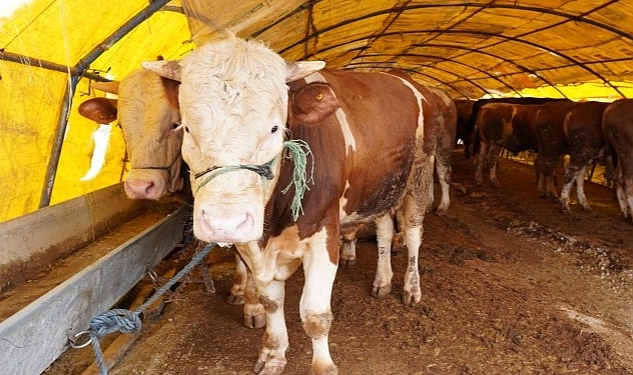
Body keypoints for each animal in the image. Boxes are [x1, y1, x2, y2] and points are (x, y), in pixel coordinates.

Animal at [144, 36, 436, 375]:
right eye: (188, 128)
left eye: (274, 128)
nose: (225, 222)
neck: (273, 224)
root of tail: (402, 77)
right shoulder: (253, 246)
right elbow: (271, 302)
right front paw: (273, 354)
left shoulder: (324, 235)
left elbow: (314, 314)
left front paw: (323, 367)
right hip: (380, 188)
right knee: (385, 231)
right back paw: (382, 281)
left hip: (419, 174)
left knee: (413, 234)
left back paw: (411, 288)